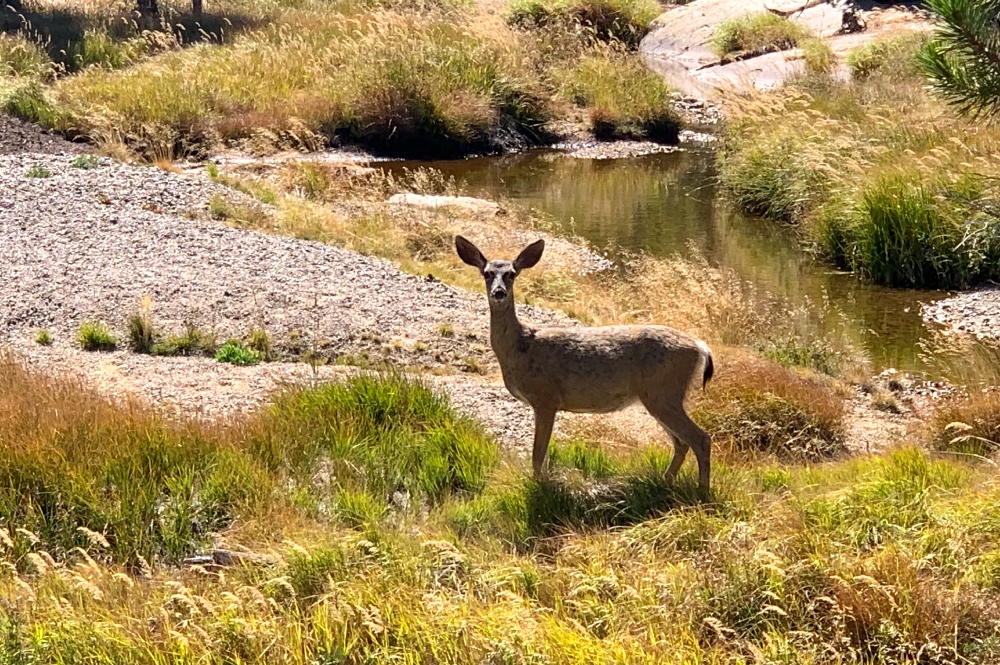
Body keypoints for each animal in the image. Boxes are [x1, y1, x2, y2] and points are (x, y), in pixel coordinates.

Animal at [458, 233, 716, 488]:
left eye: (511, 273)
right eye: (487, 273)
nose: (499, 292)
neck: (520, 347)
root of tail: (700, 348)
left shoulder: (546, 397)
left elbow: (537, 454)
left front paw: (540, 487)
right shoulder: (541, 402)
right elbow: (542, 456)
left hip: (664, 391)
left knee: (700, 439)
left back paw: (702, 490)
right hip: (659, 396)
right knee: (681, 442)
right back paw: (666, 481)